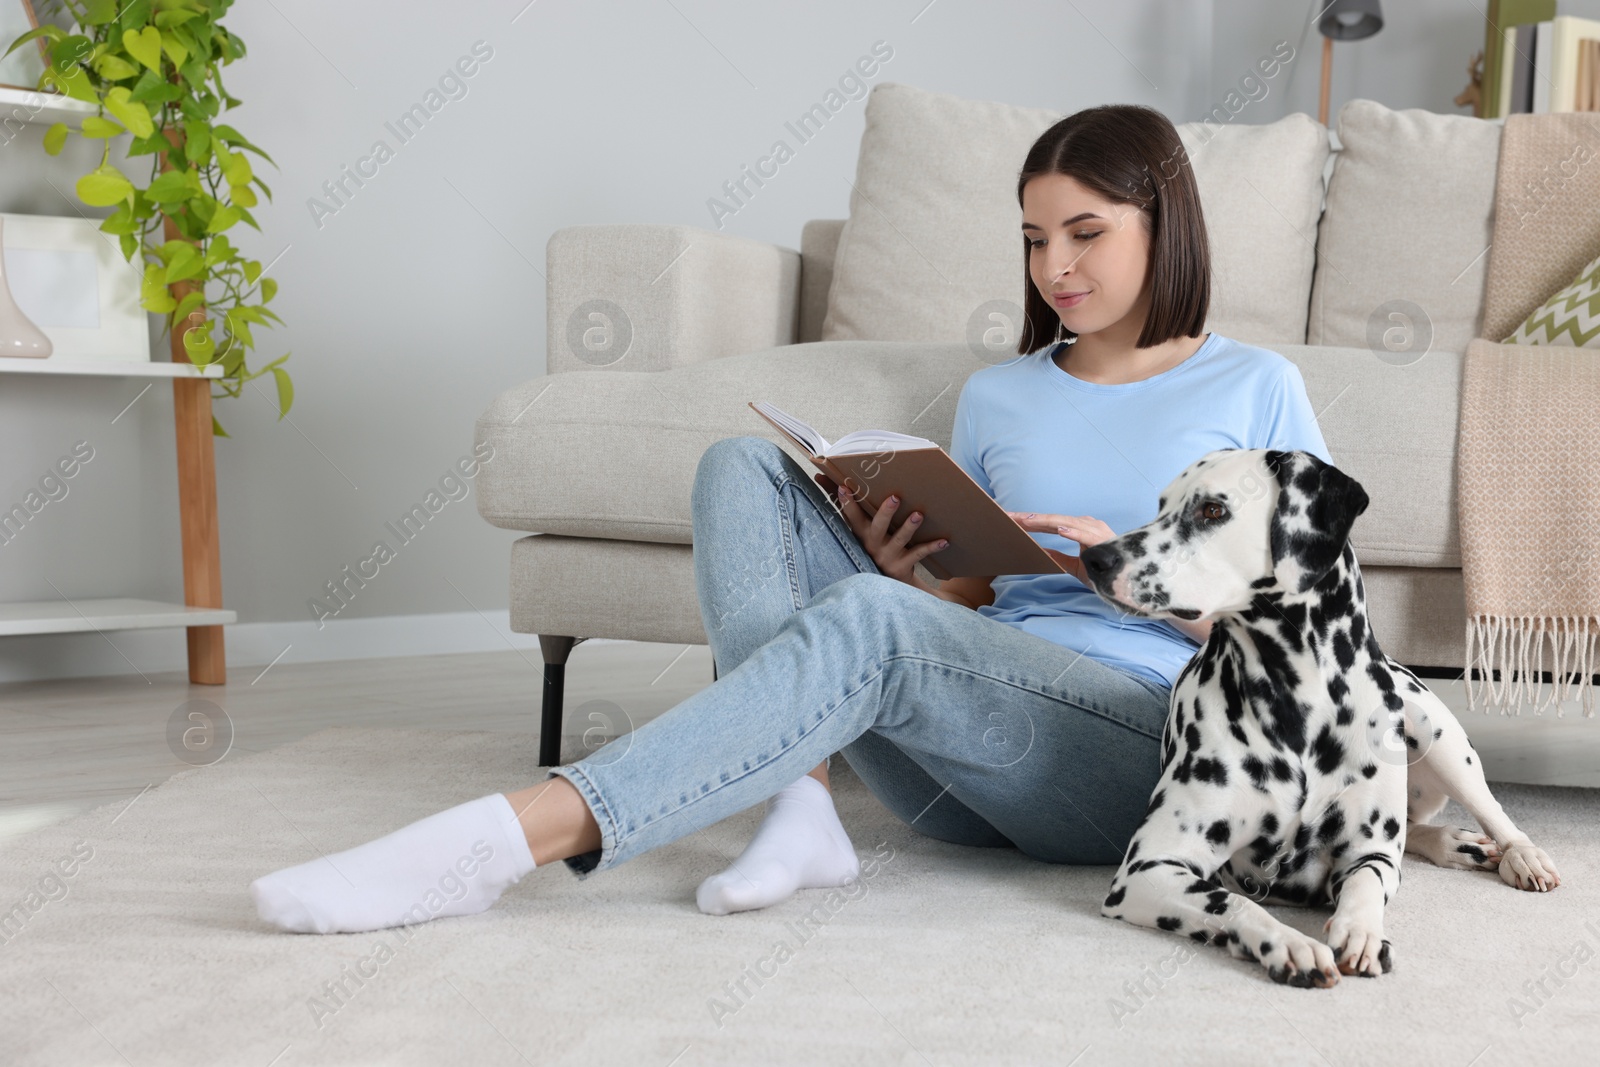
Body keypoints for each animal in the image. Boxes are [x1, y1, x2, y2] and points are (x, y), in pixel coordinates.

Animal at [1081, 447, 1555, 991]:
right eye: (1161, 507)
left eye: (1212, 510)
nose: (1095, 558)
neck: (1299, 706)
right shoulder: (1147, 870)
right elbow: (1235, 902)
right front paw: (1289, 944)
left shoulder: (1370, 855)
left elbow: (1368, 882)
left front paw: (1361, 932)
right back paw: (1455, 844)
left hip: (1441, 739)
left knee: (1490, 815)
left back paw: (1520, 855)